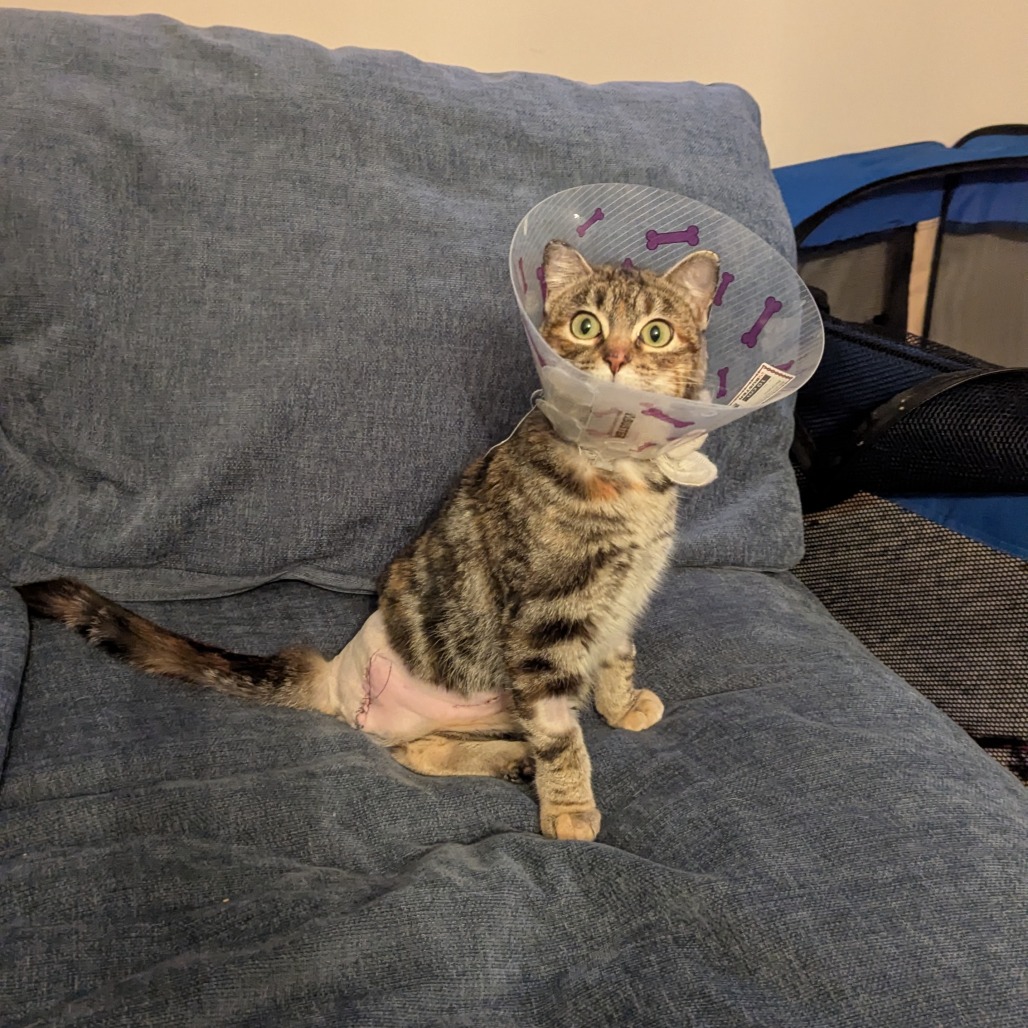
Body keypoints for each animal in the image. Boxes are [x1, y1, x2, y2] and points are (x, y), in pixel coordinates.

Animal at [17, 239, 720, 842]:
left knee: (432, 745)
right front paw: (571, 807)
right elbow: (561, 737)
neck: (626, 479)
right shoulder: (545, 627)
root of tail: (331, 674)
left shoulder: (620, 601)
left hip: (496, 699)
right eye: (585, 325)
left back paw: (514, 760)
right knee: (419, 749)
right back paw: (521, 762)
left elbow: (617, 658)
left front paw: (620, 707)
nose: (617, 359)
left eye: (655, 332)